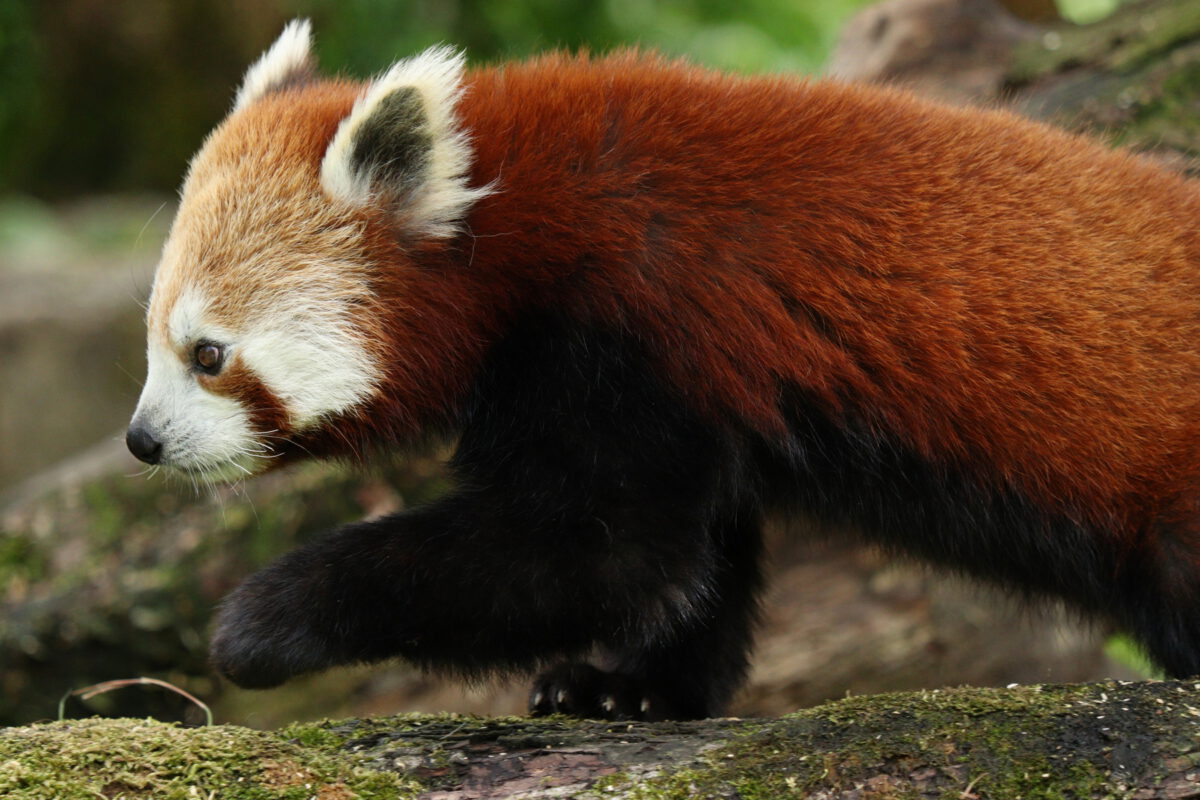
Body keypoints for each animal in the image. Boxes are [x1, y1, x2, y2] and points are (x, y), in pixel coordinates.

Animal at [129, 20, 1200, 719]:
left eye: (208, 355)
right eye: (152, 344)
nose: (142, 441)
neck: (527, 220)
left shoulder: (624, 327)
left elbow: (598, 552)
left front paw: (264, 622)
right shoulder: (696, 384)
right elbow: (688, 563)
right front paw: (634, 689)